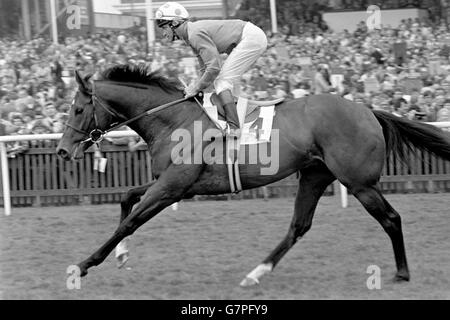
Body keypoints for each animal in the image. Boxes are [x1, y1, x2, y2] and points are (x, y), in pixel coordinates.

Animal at [56, 63, 450, 286]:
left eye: (77, 109)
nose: (61, 150)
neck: (173, 119)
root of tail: (367, 110)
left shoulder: (172, 187)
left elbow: (129, 221)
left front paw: (84, 264)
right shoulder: (171, 184)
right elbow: (126, 198)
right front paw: (120, 256)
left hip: (358, 182)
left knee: (391, 218)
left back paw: (402, 273)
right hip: (315, 175)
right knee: (298, 227)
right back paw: (256, 273)